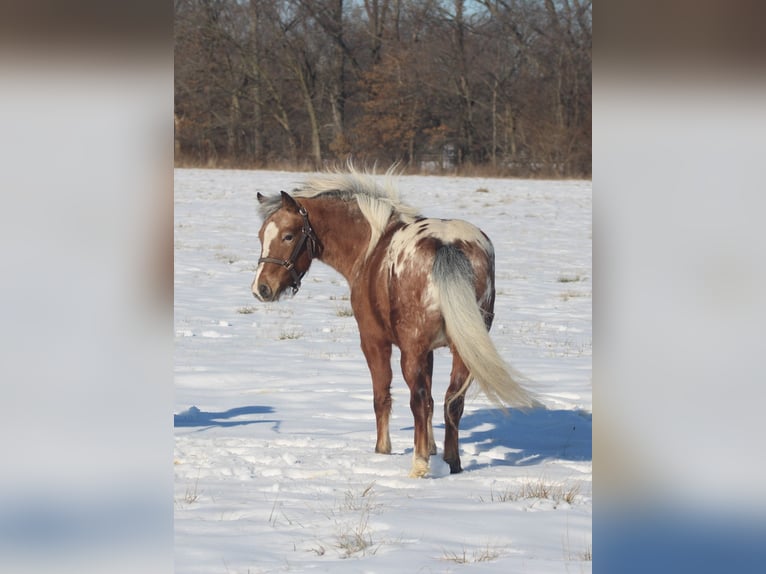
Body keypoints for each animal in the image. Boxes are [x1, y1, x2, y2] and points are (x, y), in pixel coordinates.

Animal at [250, 169, 536, 480]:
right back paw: (452, 462)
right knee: (451, 400)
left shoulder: (375, 342)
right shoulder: (429, 351)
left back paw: (419, 465)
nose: (261, 288)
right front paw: (432, 448)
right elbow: (432, 401)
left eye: (288, 236)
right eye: (261, 236)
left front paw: (383, 450)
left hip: (412, 351)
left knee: (417, 400)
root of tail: (447, 244)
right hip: (462, 351)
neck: (371, 247)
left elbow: (382, 396)